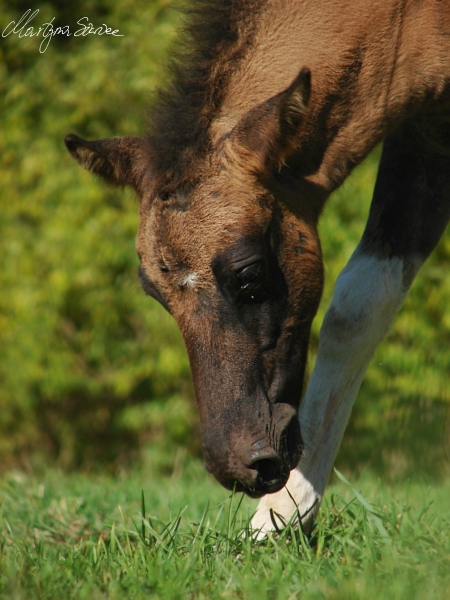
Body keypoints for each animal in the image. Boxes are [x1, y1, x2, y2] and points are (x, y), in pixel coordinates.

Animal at [65, 0, 448, 536]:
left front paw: (282, 510)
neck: (408, 18)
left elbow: (361, 305)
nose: (241, 465)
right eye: (155, 294)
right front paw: (282, 514)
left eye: (249, 275)